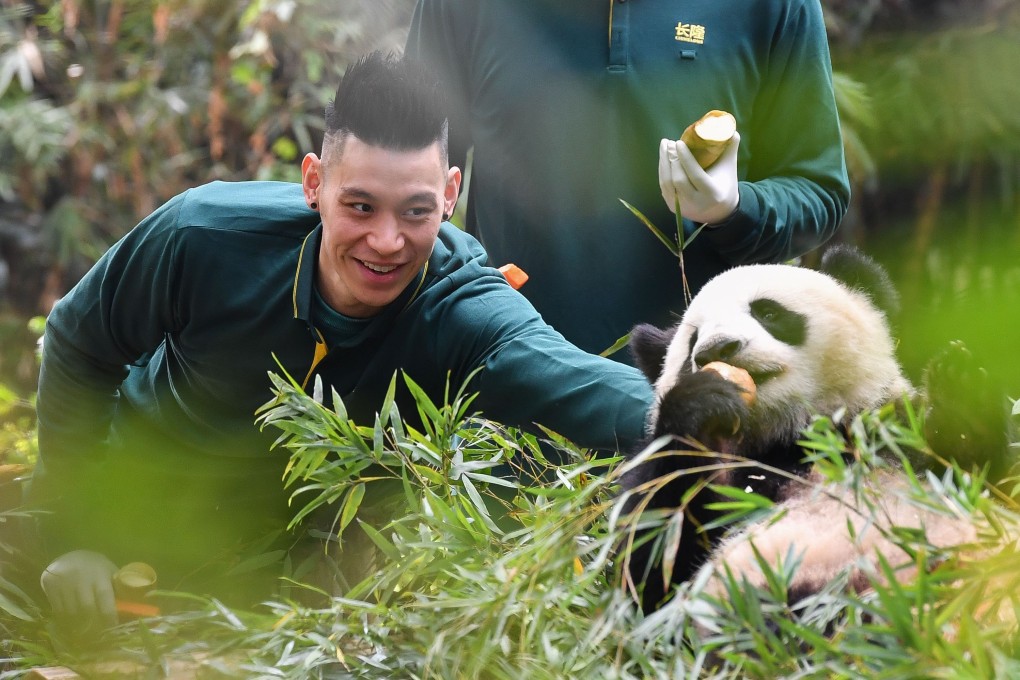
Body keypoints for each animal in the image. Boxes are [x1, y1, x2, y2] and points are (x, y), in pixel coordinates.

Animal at [618, 245, 1014, 613]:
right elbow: (649, 573)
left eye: (768, 313)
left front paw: (962, 388)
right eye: (692, 344)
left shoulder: (889, 428)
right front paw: (701, 405)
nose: (717, 349)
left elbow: (991, 479)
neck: (799, 434)